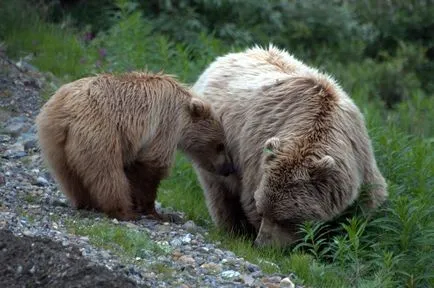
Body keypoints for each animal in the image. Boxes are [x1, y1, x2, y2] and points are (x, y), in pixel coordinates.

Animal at [36, 71, 234, 220]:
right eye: (221, 145)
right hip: (99, 131)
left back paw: (86, 202)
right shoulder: (165, 124)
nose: (229, 168)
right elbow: (152, 164)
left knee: (68, 174)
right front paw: (154, 211)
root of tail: (66, 110)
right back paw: (123, 211)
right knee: (107, 171)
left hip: (53, 138)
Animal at [192, 45, 388, 248]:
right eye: (261, 209)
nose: (262, 245)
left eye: (286, 219)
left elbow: (368, 202)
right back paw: (232, 229)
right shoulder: (256, 161)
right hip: (213, 148)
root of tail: (227, 56)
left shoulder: (357, 153)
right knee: (219, 193)